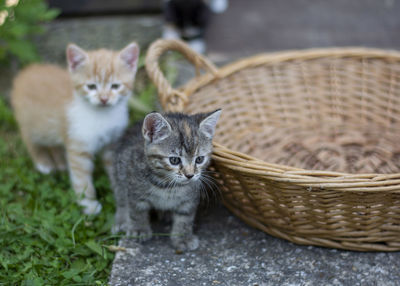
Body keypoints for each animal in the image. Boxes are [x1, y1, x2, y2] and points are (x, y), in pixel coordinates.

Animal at [11, 42, 140, 214]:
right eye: (91, 86)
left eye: (115, 86)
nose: (104, 99)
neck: (103, 116)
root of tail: (26, 71)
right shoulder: (78, 147)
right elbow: (82, 179)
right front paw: (89, 205)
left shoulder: (112, 143)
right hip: (32, 123)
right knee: (29, 138)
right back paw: (43, 162)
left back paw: (59, 161)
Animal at [111, 109, 220, 250]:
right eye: (174, 160)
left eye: (199, 159)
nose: (190, 175)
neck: (168, 185)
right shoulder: (134, 189)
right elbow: (137, 211)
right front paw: (139, 229)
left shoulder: (190, 199)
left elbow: (185, 218)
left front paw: (183, 237)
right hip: (118, 171)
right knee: (121, 199)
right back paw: (122, 221)